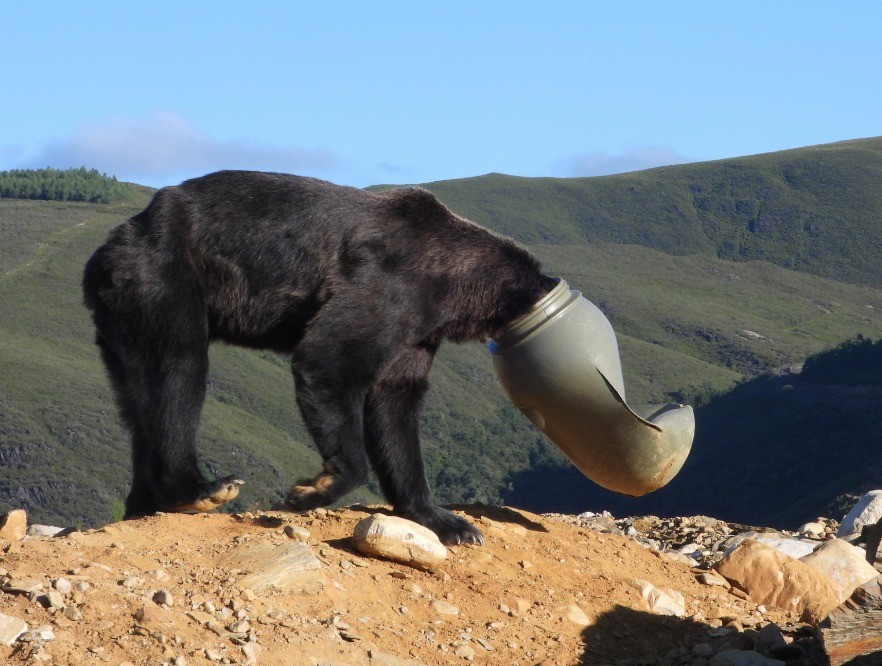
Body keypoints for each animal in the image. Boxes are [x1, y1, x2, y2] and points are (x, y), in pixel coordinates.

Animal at [81, 169, 552, 544]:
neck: (451, 285)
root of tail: (112, 244)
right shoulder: (391, 287)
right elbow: (329, 360)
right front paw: (313, 488)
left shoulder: (415, 335)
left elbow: (395, 407)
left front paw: (450, 523)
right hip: (164, 277)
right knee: (178, 372)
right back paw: (200, 488)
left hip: (122, 317)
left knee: (139, 399)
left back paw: (144, 503)